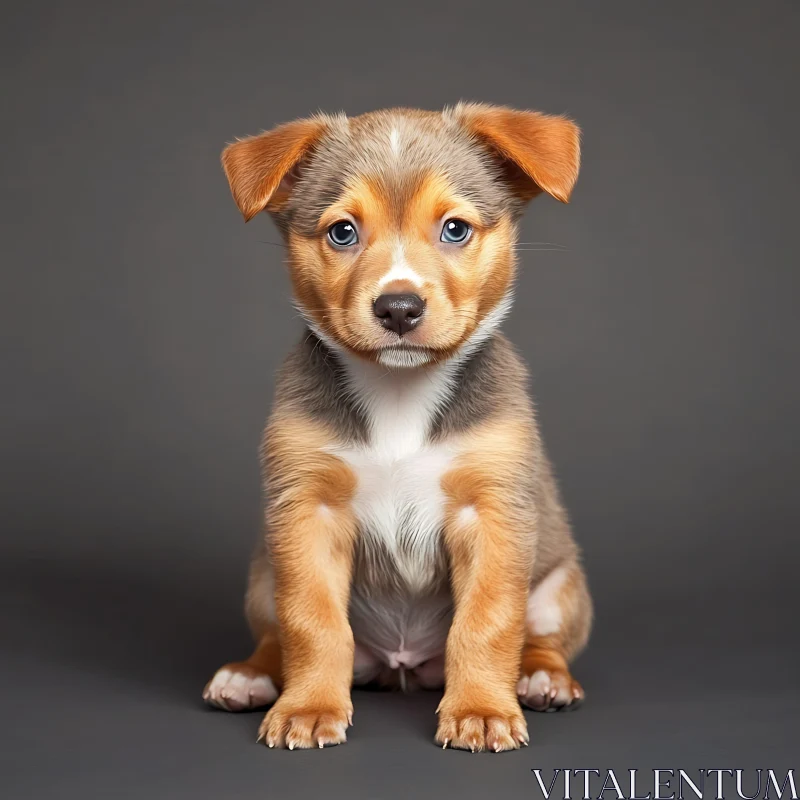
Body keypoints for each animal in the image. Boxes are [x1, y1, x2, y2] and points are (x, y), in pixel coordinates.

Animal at [205, 104, 592, 752]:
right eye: (342, 232)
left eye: (455, 229)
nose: (399, 308)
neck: (399, 393)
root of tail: (403, 665)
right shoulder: (307, 513)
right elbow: (312, 623)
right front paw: (308, 708)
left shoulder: (492, 515)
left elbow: (488, 623)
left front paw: (481, 711)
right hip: (263, 574)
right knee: (275, 636)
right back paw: (250, 676)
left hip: (562, 587)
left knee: (540, 639)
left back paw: (541, 678)